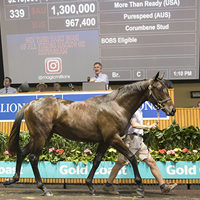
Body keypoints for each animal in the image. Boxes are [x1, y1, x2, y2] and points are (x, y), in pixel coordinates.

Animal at [3, 72, 175, 197]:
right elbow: (131, 158)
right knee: (33, 158)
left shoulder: (105, 140)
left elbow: (97, 161)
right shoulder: (113, 138)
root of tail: (30, 104)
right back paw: (44, 189)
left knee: (22, 152)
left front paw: (90, 186)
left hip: (40, 136)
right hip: (40, 137)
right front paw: (140, 187)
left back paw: (11, 180)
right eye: (159, 89)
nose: (172, 110)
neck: (115, 105)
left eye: (167, 88)